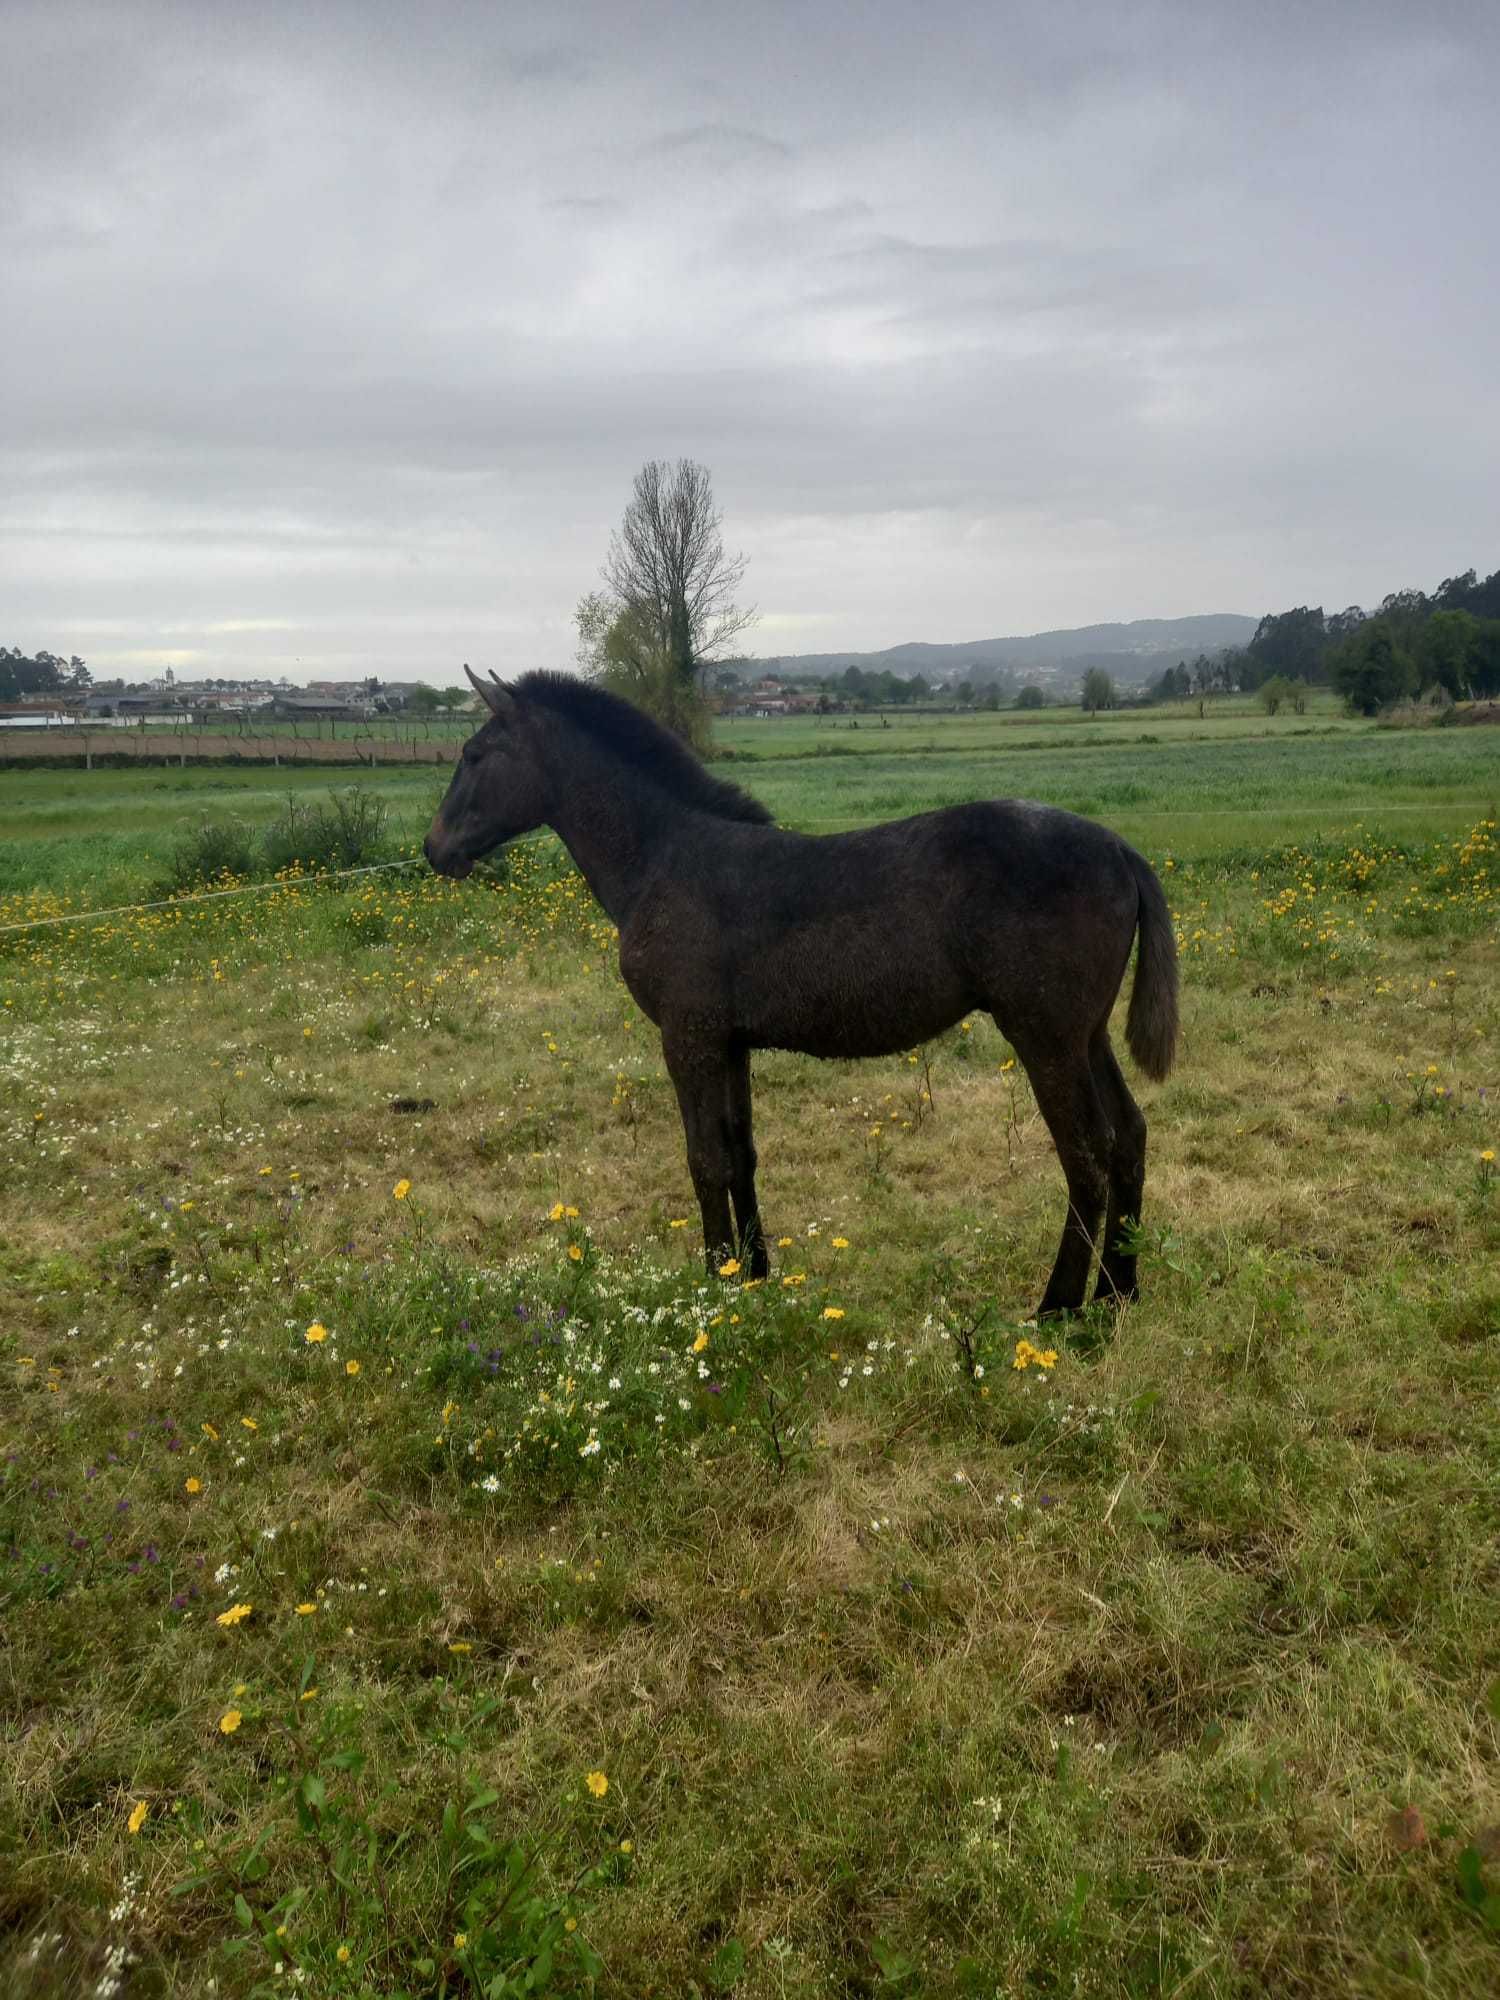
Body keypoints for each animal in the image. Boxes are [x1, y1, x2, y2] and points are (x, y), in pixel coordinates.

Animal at [428, 672, 1184, 1320]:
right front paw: (753, 1275)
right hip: (1086, 1036)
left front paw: (713, 1286)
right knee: (1129, 1136)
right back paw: (1118, 1293)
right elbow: (740, 1153)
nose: (436, 849)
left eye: (474, 754)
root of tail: (1119, 849)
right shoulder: (728, 1042)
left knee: (1085, 1153)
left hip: (1043, 1035)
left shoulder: (686, 1037)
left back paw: (1059, 1308)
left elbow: (703, 1159)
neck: (665, 860)